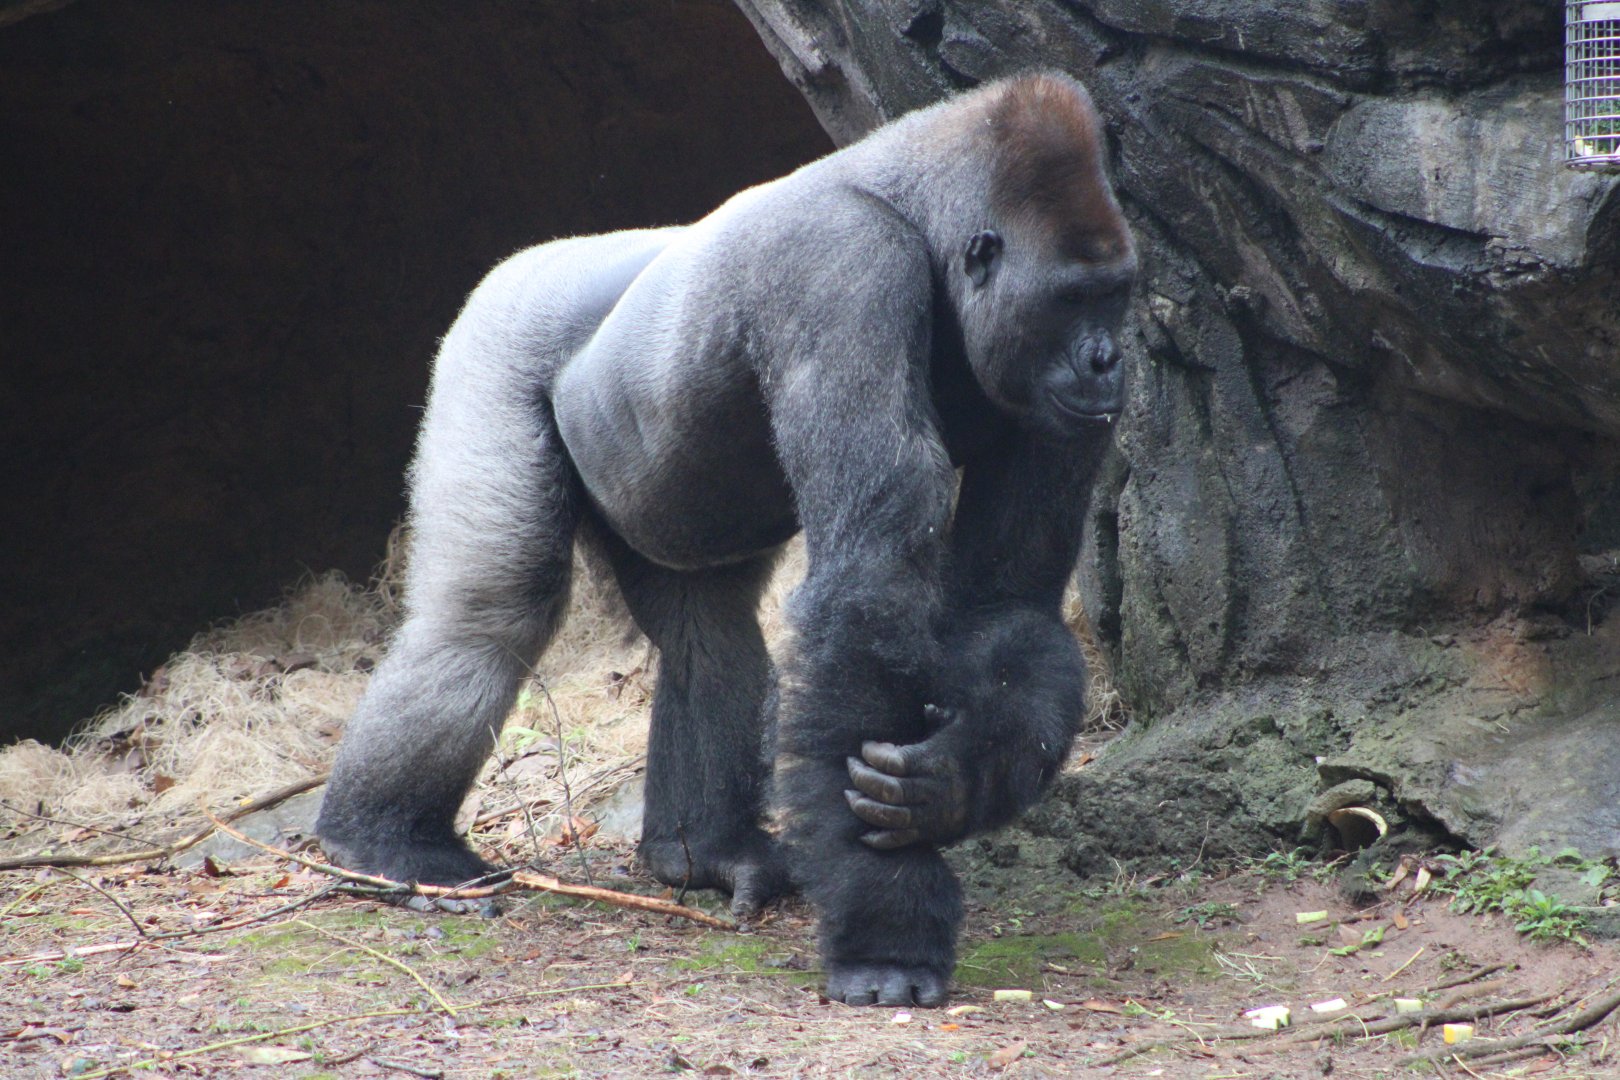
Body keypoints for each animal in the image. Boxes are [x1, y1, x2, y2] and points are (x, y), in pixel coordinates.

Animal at [315, 70, 1136, 1007]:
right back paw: (382, 837)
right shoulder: (842, 266)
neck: (920, 215)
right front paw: (886, 929)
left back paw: (701, 853)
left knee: (707, 634)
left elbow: (1005, 605)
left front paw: (953, 782)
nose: (1109, 360)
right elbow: (870, 583)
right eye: (1072, 299)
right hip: (496, 333)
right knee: (490, 613)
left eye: (1117, 293)